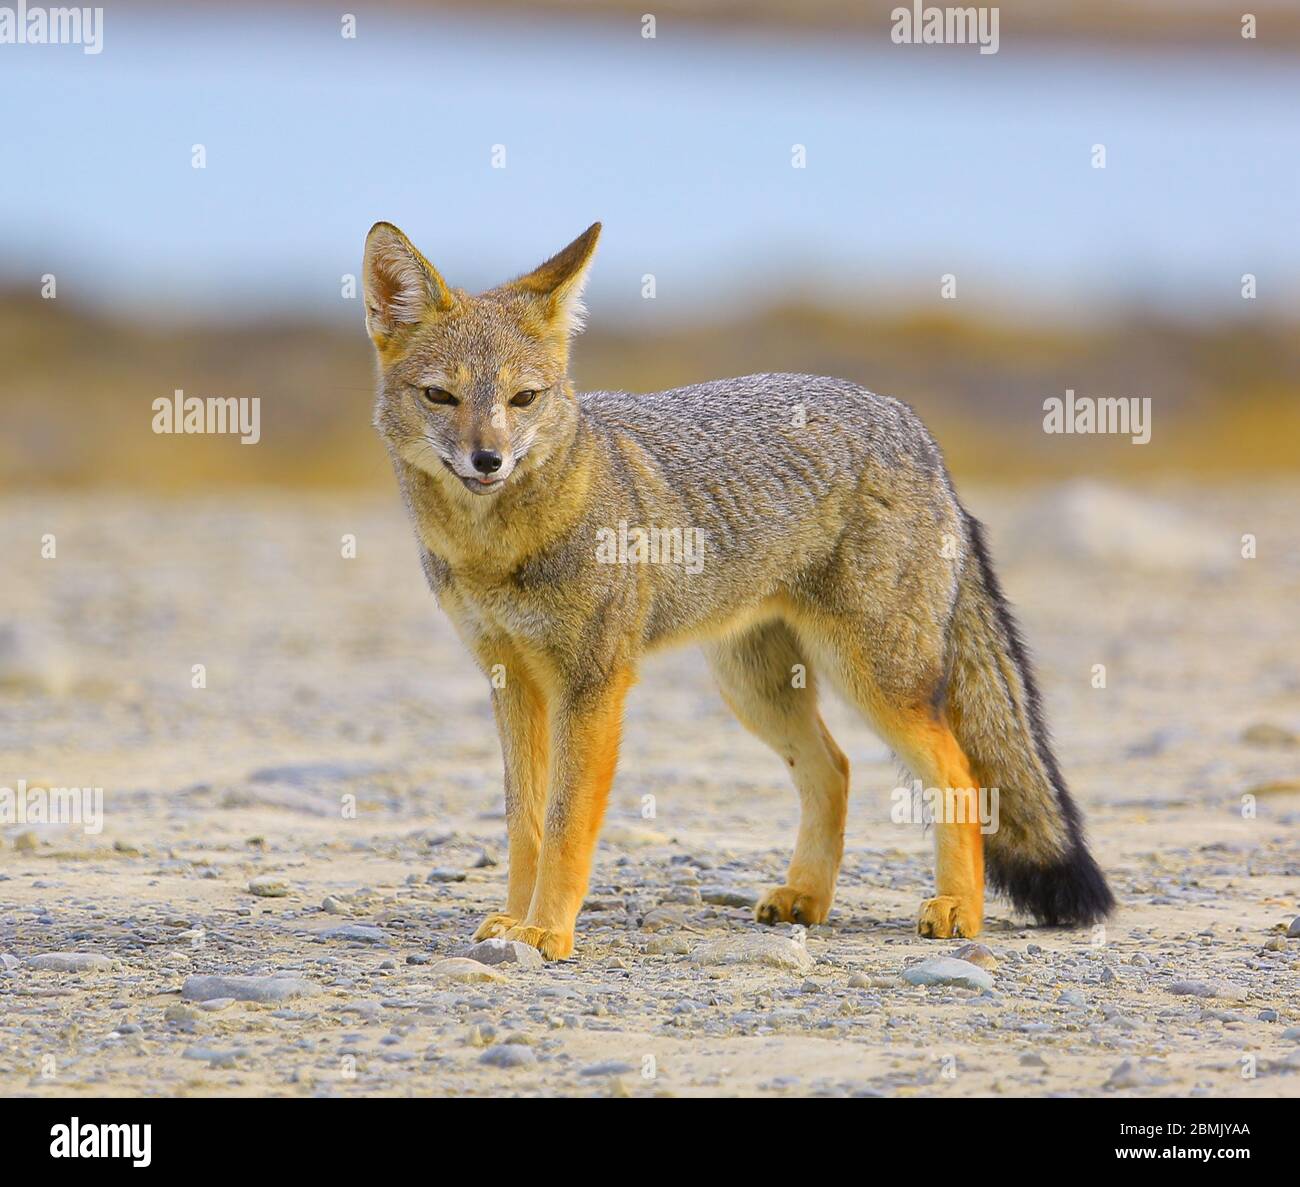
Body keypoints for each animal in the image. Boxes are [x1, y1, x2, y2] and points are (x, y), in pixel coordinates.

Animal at [361, 222, 1112, 956]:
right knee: (835, 769)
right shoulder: (510, 678)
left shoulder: (592, 684)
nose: (488, 460)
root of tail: (911, 423)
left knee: (961, 773)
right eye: (441, 396)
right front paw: (513, 922)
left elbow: (567, 822)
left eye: (523, 399)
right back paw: (807, 896)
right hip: (754, 688)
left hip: (874, 680)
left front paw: (547, 931)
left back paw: (960, 908)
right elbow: (525, 822)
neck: (496, 549)